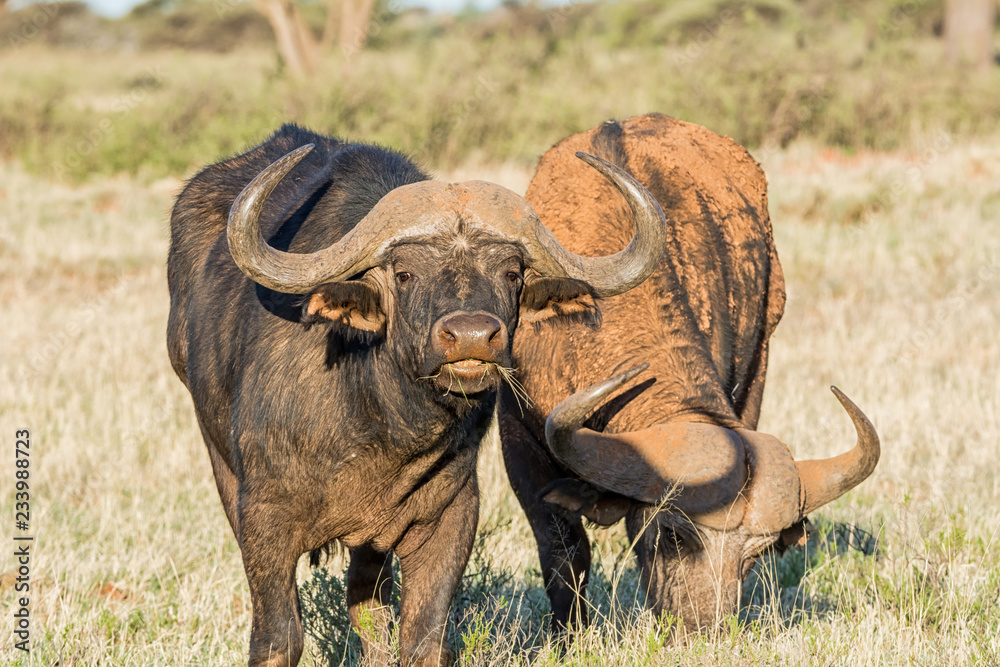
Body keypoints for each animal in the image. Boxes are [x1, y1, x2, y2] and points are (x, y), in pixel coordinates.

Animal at [165, 124, 667, 666]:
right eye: (405, 273)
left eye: (511, 273)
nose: (471, 337)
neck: (376, 421)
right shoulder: (263, 520)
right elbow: (279, 639)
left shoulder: (451, 516)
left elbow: (423, 636)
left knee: (368, 604)